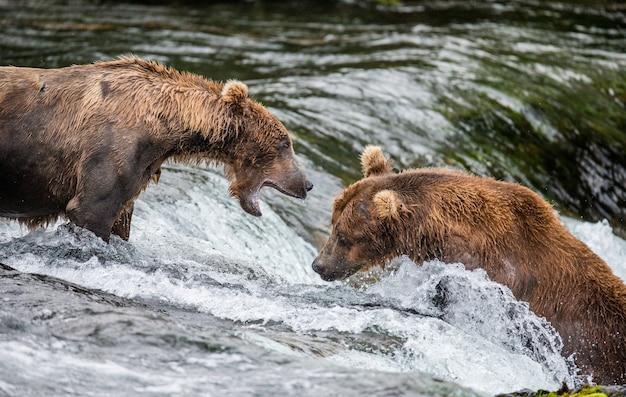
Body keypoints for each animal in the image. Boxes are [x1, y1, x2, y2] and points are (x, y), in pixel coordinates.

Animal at [0, 56, 312, 241]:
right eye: (285, 143)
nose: (307, 184)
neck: (166, 128)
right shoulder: (111, 151)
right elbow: (91, 208)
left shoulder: (138, 170)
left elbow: (121, 215)